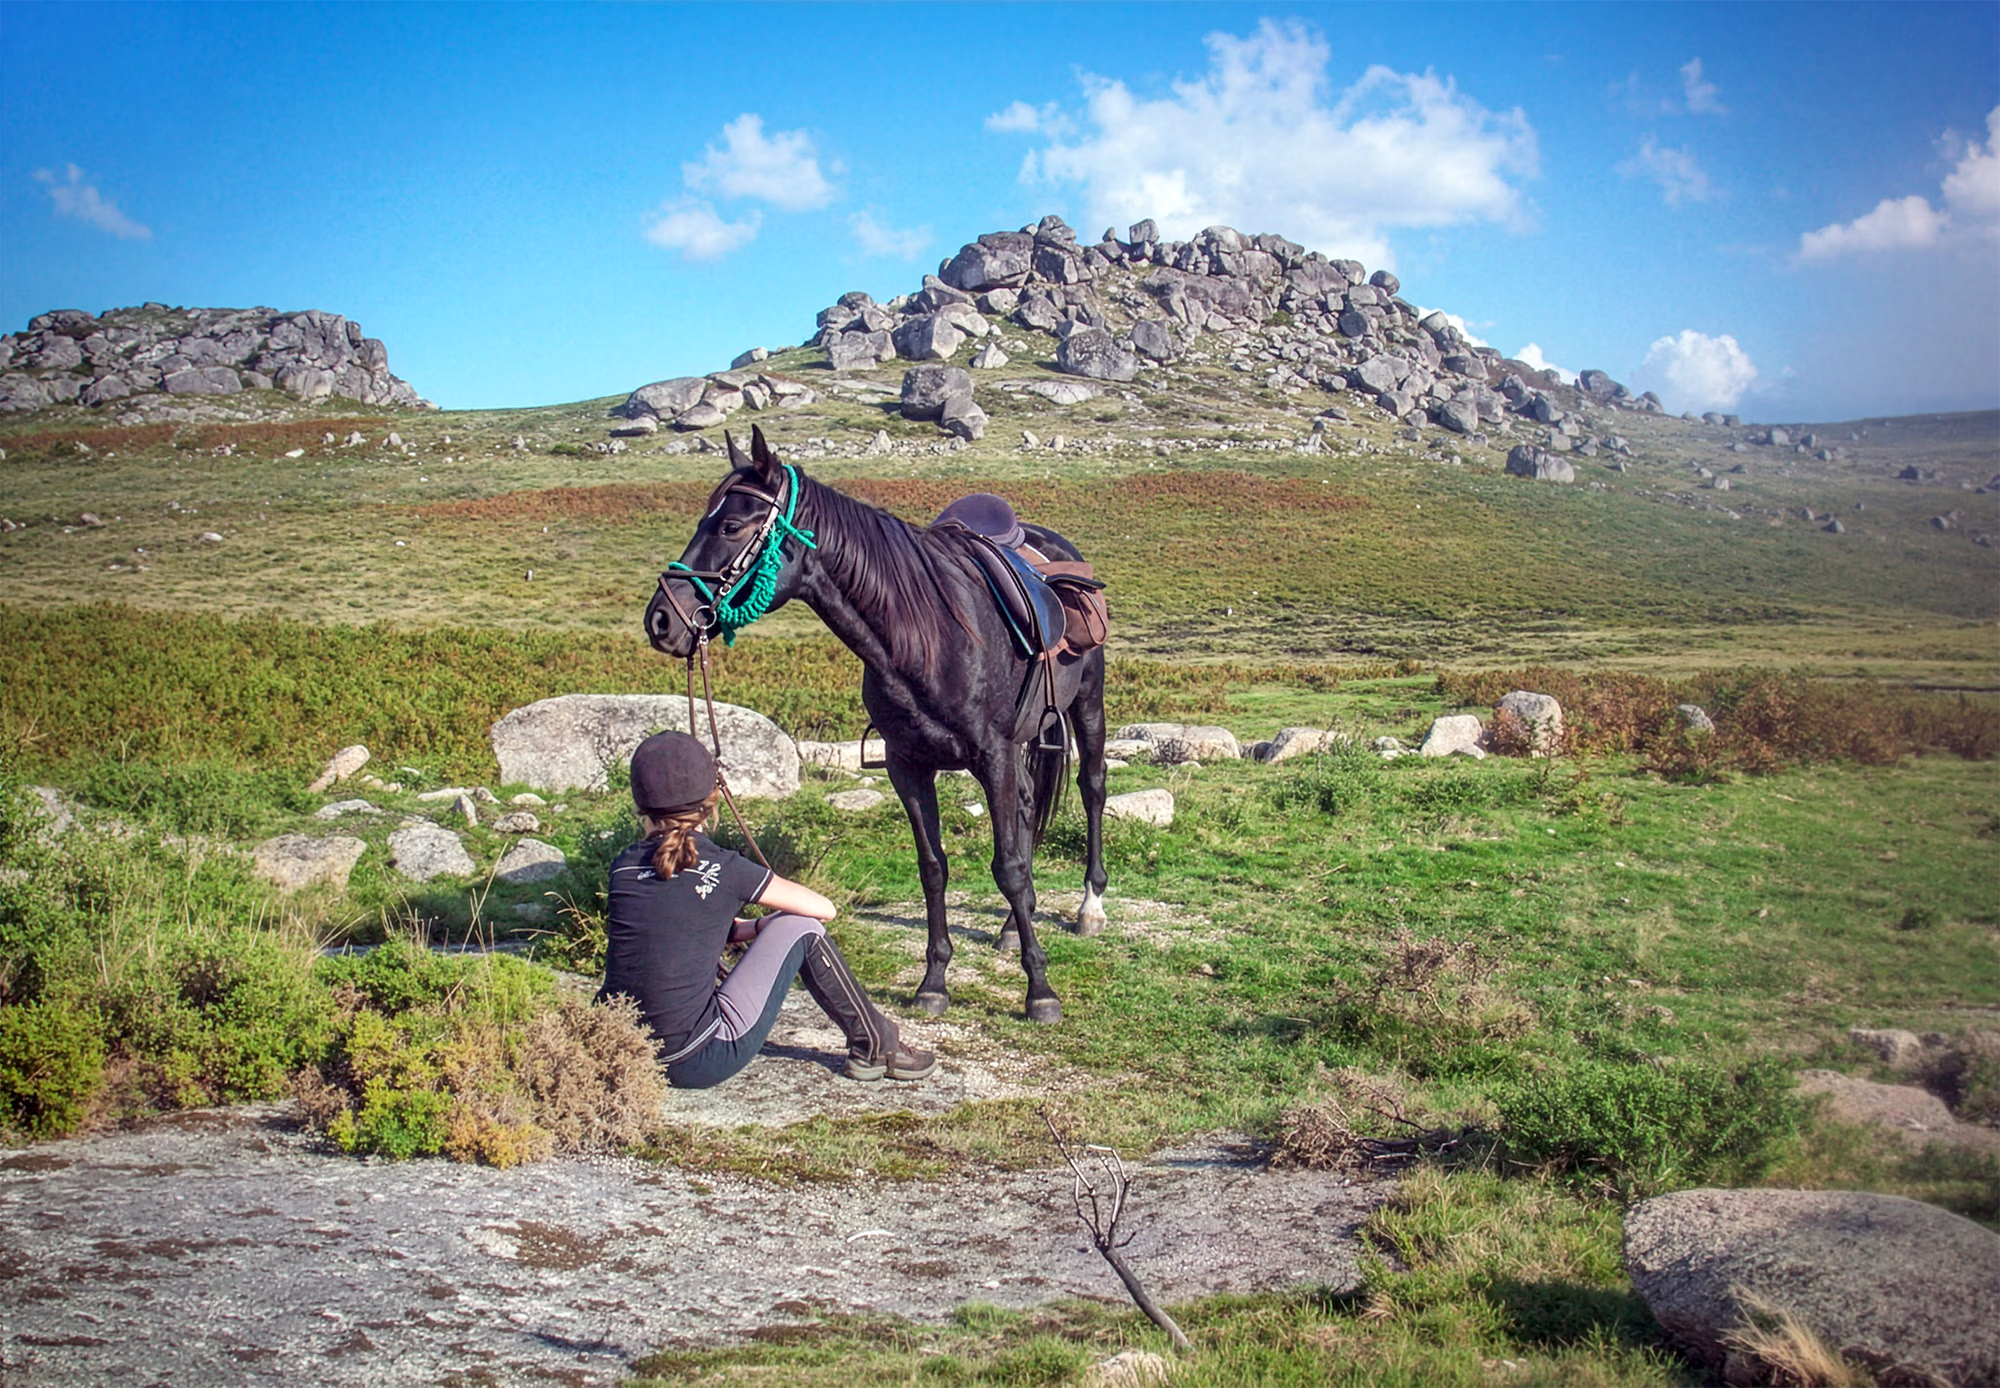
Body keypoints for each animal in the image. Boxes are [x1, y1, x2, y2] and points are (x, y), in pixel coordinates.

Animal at [643, 426, 1108, 1024]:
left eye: (729, 526)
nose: (661, 619)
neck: (929, 635)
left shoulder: (993, 754)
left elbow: (1007, 866)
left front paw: (1040, 991)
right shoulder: (907, 765)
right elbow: (934, 867)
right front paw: (934, 981)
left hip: (1086, 704)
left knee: (1091, 787)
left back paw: (1090, 906)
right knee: (1028, 805)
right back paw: (1011, 924)